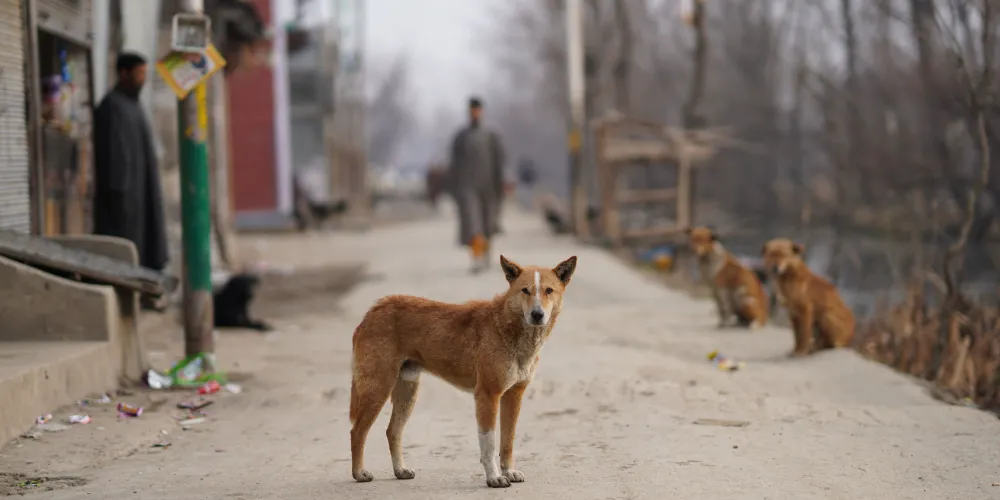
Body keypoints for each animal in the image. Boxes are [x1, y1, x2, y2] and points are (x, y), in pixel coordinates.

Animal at [348, 254, 580, 488]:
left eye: (549, 290)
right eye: (525, 290)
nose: (537, 314)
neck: (508, 328)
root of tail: (372, 311)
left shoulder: (514, 395)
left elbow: (508, 441)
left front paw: (509, 471)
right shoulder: (487, 394)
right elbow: (489, 444)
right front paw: (494, 477)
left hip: (408, 391)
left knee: (392, 431)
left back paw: (400, 470)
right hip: (377, 389)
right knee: (357, 432)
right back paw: (359, 473)